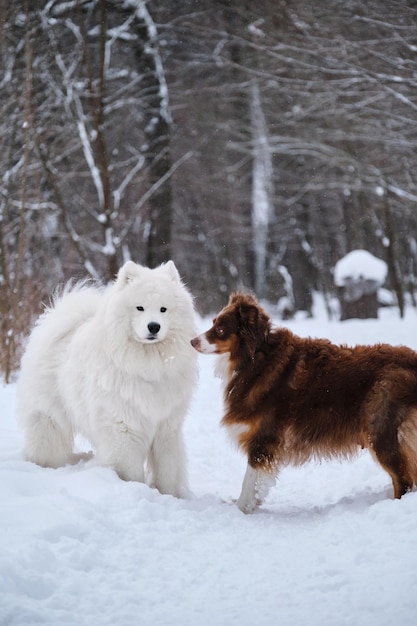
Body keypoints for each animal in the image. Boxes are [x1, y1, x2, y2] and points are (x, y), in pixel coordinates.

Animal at [16, 260, 197, 498]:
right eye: (140, 308)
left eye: (163, 309)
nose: (154, 326)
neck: (147, 365)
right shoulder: (123, 427)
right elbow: (129, 470)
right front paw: (133, 489)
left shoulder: (167, 427)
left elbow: (168, 468)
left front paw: (169, 495)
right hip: (48, 419)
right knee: (46, 446)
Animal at [191, 290, 416, 510]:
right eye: (213, 322)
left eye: (221, 329)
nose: (192, 341)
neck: (256, 356)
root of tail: (412, 360)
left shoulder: (263, 438)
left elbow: (249, 481)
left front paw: (240, 509)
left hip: (381, 428)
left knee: (403, 480)